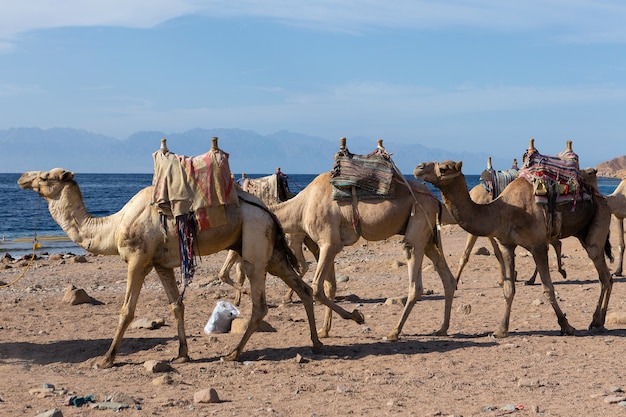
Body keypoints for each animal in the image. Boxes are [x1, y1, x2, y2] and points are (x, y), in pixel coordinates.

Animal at [15, 143, 360, 368]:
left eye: (46, 177)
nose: (21, 177)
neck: (112, 227)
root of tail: (269, 212)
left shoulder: (137, 260)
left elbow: (127, 310)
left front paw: (106, 359)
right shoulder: (161, 264)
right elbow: (176, 305)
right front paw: (181, 354)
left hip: (254, 246)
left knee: (261, 304)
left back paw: (233, 354)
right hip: (271, 252)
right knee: (301, 288)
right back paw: (318, 342)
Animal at [412, 141, 612, 336]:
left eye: (444, 168)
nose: (418, 167)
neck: (504, 210)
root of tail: (600, 196)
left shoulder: (538, 245)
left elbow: (548, 288)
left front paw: (566, 326)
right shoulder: (507, 245)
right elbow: (509, 289)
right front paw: (501, 329)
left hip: (599, 220)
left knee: (604, 275)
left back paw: (597, 322)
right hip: (582, 232)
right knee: (603, 275)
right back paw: (596, 320)